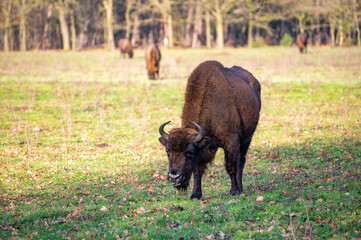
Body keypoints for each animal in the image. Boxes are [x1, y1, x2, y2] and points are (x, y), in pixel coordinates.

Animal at [159, 61, 260, 200]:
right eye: (168, 151)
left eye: (189, 153)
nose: (174, 177)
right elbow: (197, 171)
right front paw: (195, 195)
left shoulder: (231, 143)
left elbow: (230, 167)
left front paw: (234, 191)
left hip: (247, 139)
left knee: (241, 161)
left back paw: (240, 189)